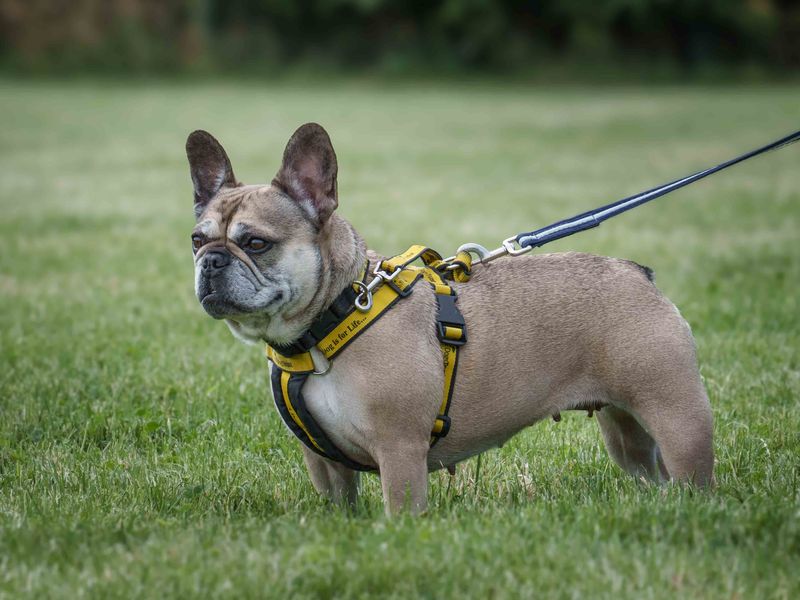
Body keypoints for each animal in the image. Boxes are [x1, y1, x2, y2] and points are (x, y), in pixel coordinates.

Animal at [186, 124, 712, 512]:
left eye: (257, 243)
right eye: (197, 239)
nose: (211, 261)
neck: (329, 322)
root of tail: (638, 273)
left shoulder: (399, 449)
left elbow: (401, 509)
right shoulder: (324, 463)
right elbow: (339, 507)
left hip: (676, 414)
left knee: (692, 476)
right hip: (627, 431)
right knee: (653, 473)